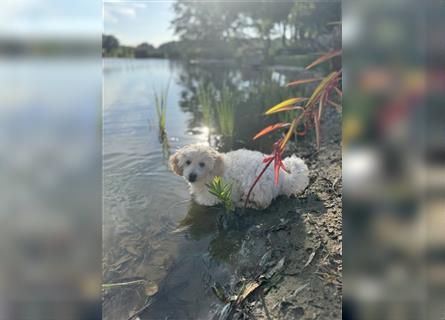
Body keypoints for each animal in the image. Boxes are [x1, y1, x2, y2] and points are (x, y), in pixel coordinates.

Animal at [170, 144, 308, 210]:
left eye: (202, 164)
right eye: (187, 162)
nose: (192, 176)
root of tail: (283, 178)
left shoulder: (211, 198)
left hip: (254, 186)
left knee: (262, 205)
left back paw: (242, 204)